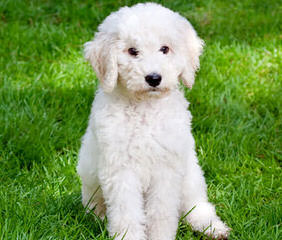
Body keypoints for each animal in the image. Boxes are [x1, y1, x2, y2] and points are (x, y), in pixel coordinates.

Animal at [76, 2, 229, 240]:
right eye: (132, 51)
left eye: (164, 49)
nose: (154, 78)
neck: (144, 109)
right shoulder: (121, 170)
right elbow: (127, 214)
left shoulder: (166, 169)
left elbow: (161, 212)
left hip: (191, 176)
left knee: (197, 205)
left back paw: (211, 227)